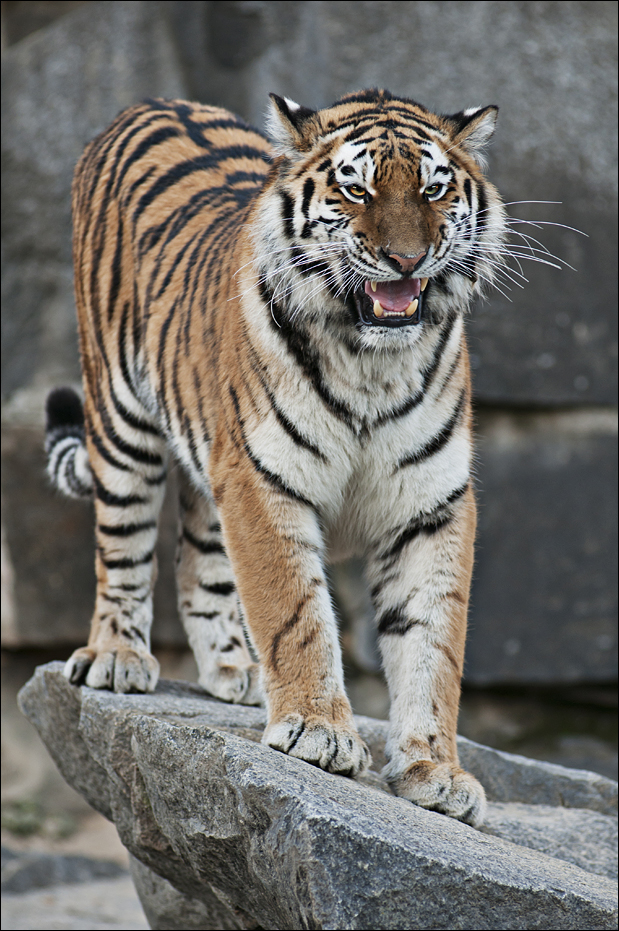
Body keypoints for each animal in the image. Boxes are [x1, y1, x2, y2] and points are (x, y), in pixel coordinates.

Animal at [45, 88, 507, 827]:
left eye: (433, 190)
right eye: (355, 189)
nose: (407, 260)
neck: (371, 361)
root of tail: (154, 102)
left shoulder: (429, 504)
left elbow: (432, 642)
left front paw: (435, 771)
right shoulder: (265, 481)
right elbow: (294, 611)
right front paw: (319, 730)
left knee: (196, 561)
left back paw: (236, 671)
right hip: (120, 417)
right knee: (123, 550)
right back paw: (116, 656)